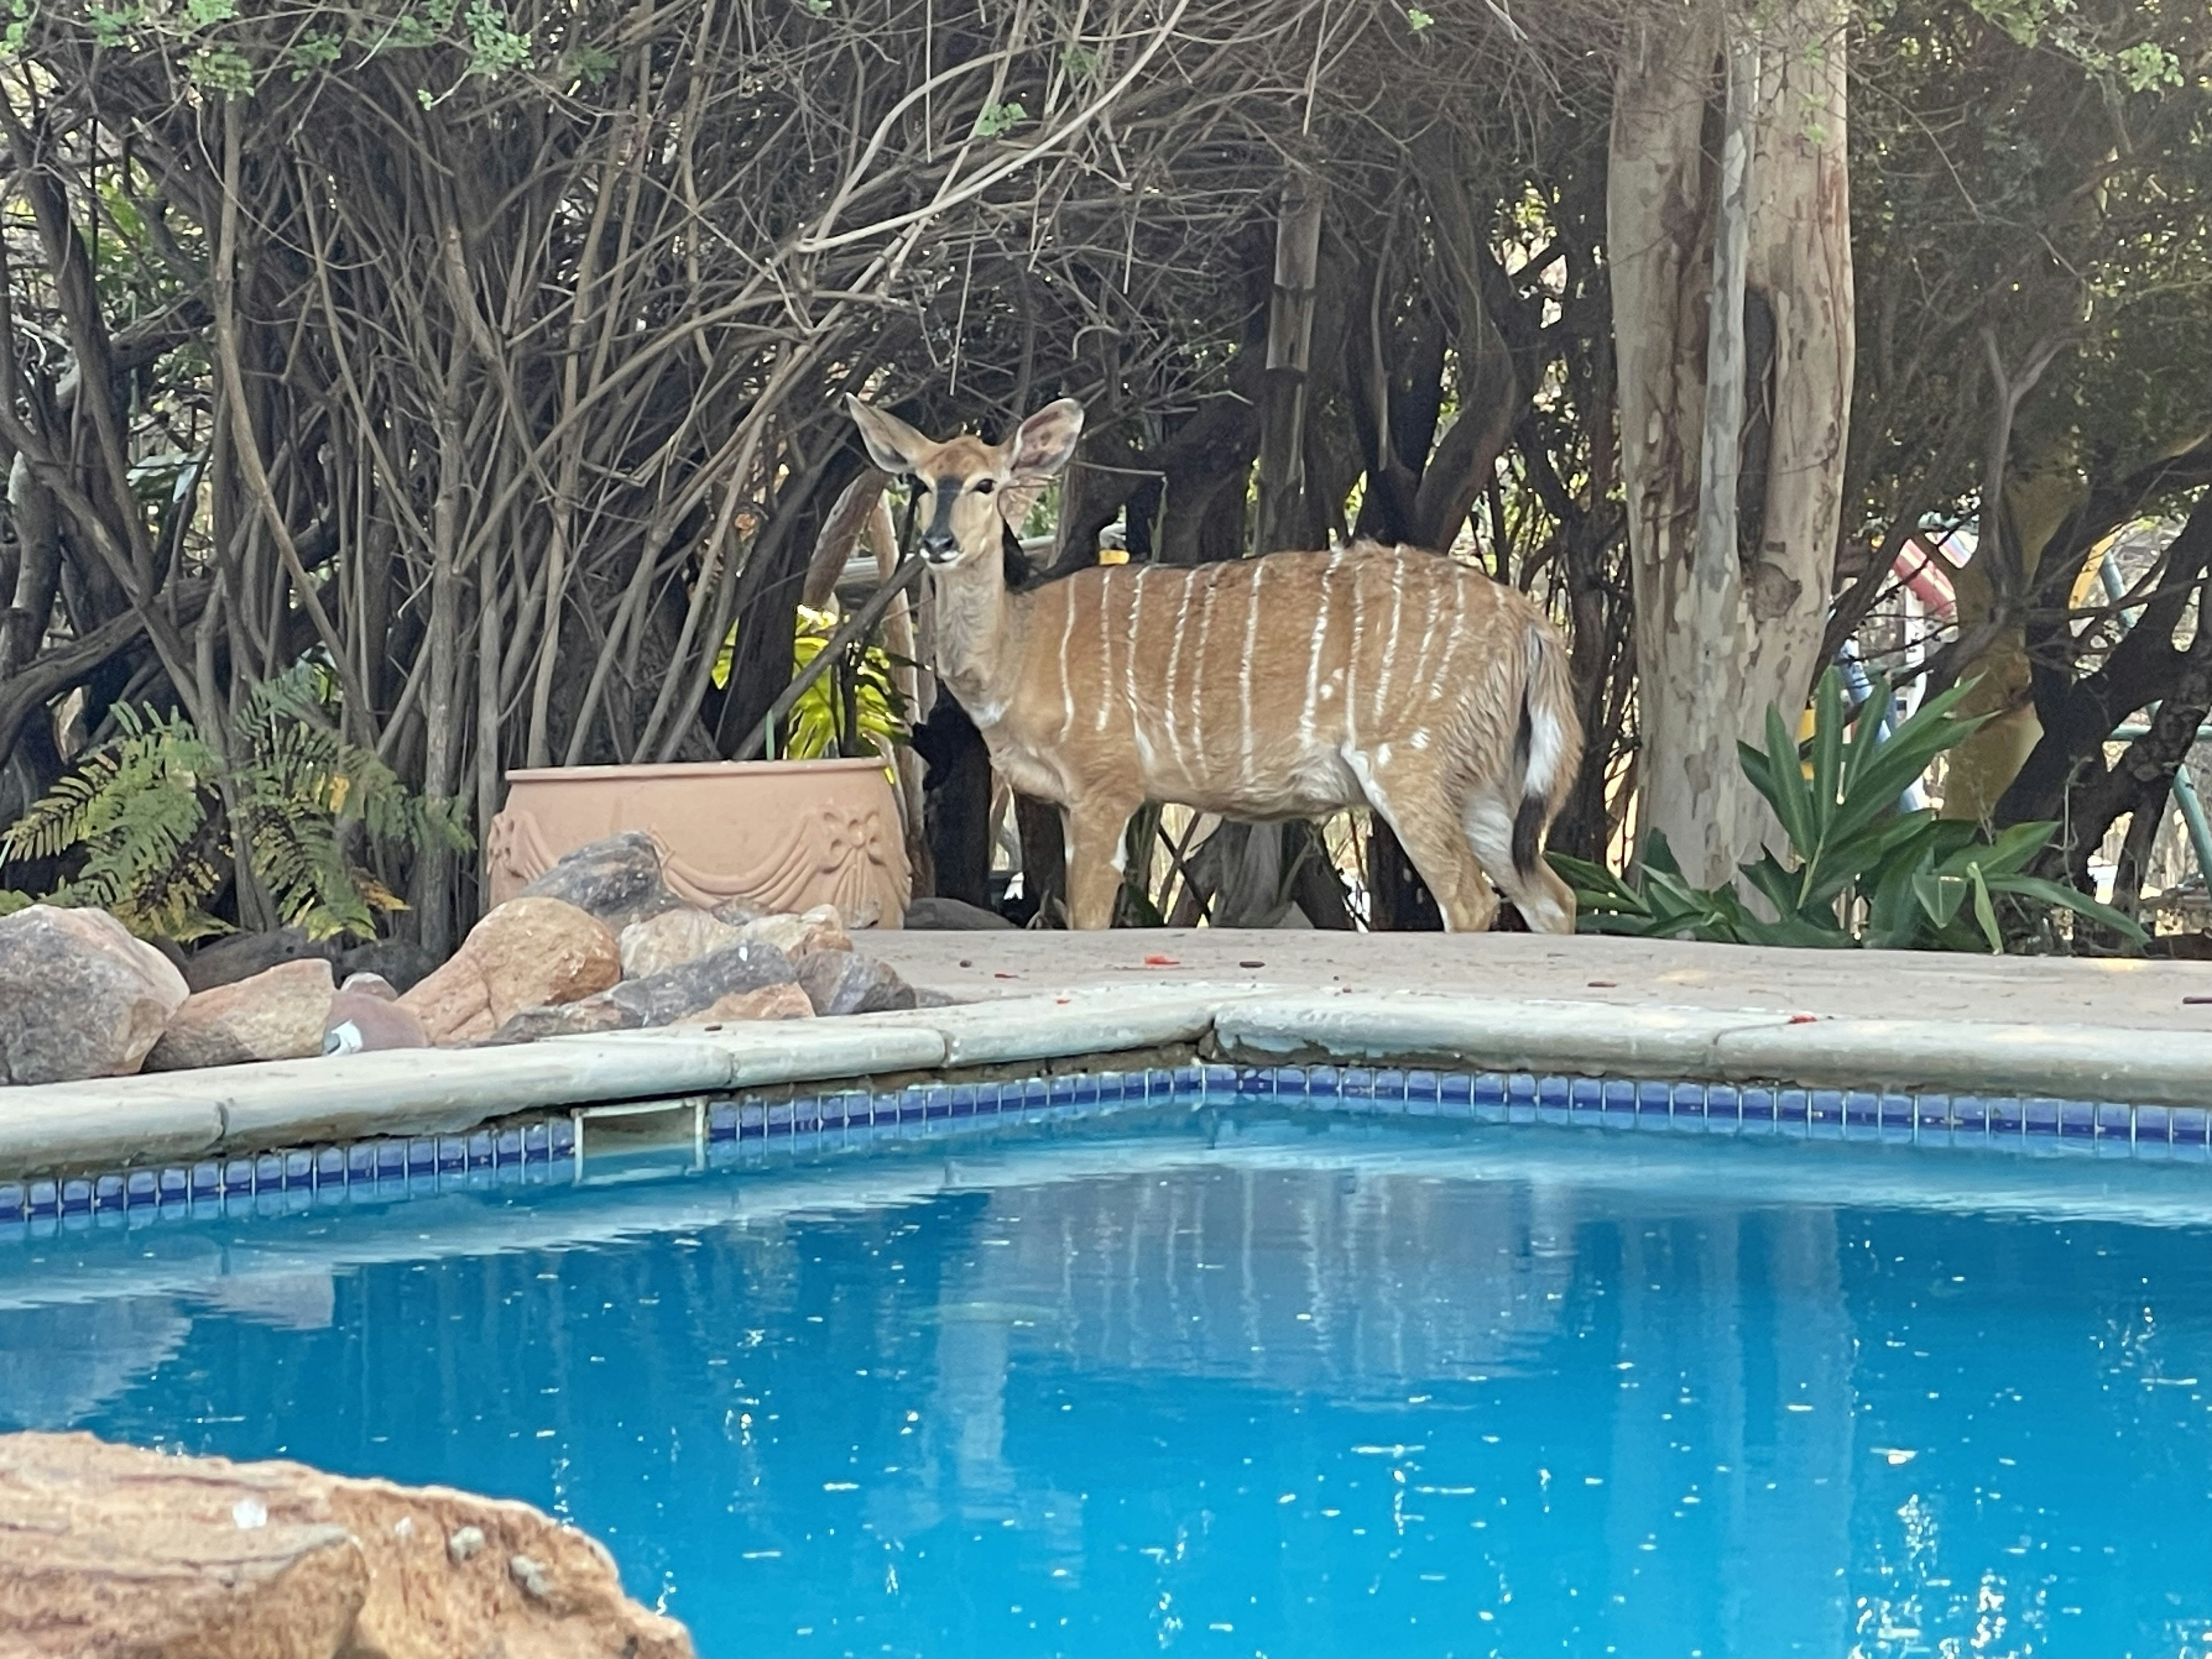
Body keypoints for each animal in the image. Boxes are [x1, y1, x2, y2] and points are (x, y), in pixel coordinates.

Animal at [846, 393, 1583, 935]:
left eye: (986, 483)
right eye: (917, 481)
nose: (938, 542)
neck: (1020, 651)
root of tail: (1530, 625)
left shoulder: (1107, 785)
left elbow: (1089, 919)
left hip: (1410, 766)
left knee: (1471, 900)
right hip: (1485, 783)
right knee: (1553, 895)